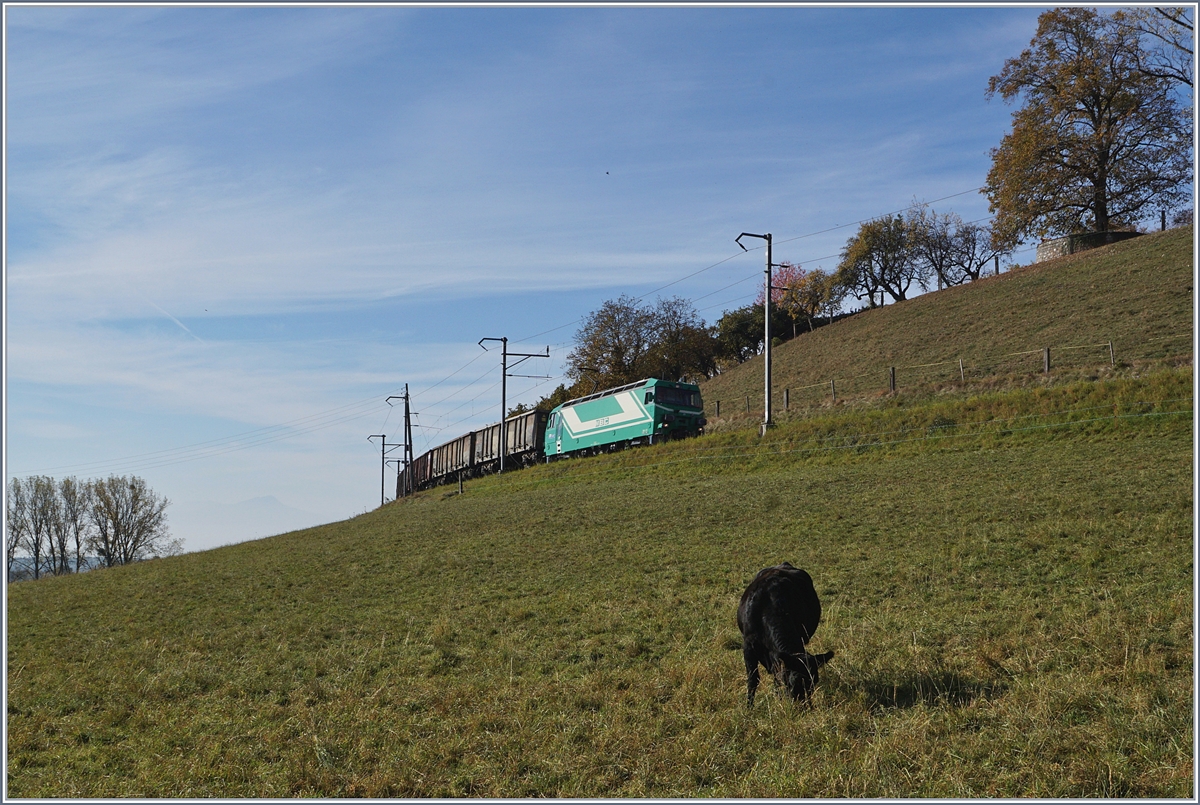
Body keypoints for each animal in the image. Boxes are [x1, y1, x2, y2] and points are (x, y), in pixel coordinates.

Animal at [737, 562, 834, 707]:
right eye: (794, 681)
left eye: (814, 682)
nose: (804, 706)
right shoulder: (748, 646)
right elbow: (753, 679)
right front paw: (749, 707)